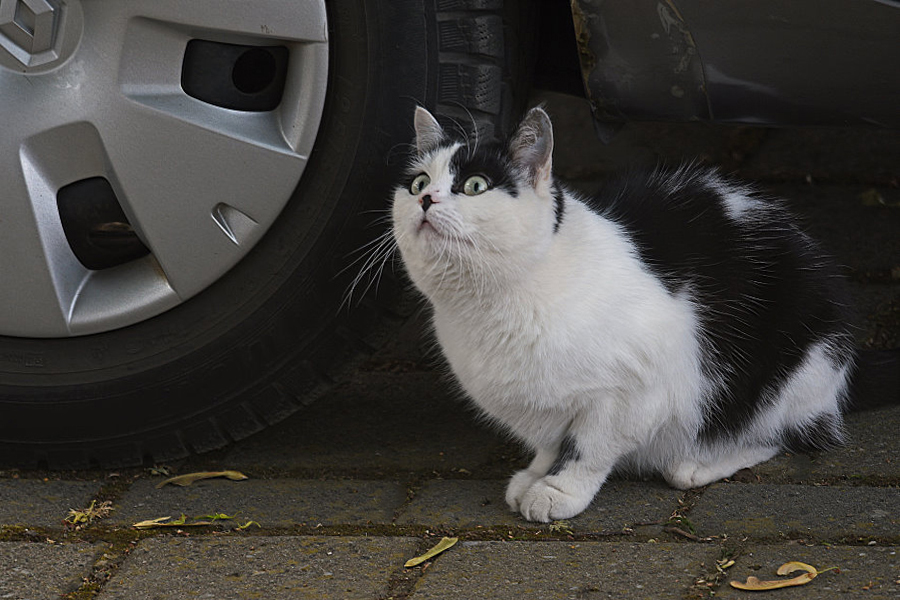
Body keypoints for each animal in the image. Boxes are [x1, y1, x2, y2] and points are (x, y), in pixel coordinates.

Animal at [384, 106, 892, 520]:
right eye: (418, 183)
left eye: (474, 186)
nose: (427, 200)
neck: (488, 305)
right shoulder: (542, 408)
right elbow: (550, 443)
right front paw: (535, 474)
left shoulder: (635, 391)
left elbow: (588, 447)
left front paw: (559, 491)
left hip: (796, 368)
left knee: (782, 434)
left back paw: (697, 461)